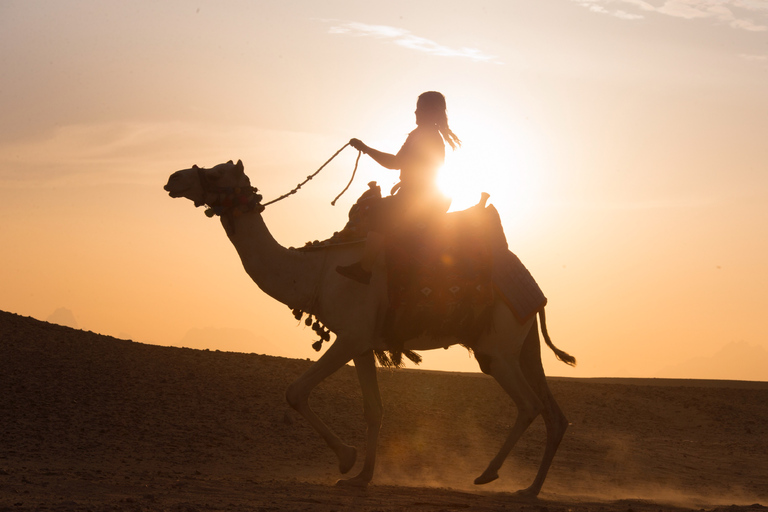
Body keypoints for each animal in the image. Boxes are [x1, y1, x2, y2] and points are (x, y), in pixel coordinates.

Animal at [165, 159, 572, 496]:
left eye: (217, 173)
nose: (174, 178)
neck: (315, 272)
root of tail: (532, 289)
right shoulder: (362, 345)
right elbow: (374, 409)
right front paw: (361, 476)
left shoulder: (351, 335)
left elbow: (296, 391)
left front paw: (346, 459)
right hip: (522, 344)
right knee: (554, 413)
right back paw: (529, 489)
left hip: (497, 348)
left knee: (529, 404)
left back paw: (488, 474)